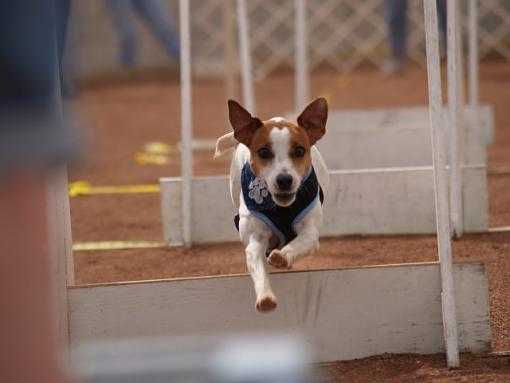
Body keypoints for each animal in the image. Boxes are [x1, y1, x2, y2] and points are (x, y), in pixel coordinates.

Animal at [213, 97, 328, 314]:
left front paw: (282, 257)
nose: (284, 180)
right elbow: (258, 266)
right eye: (264, 152)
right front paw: (265, 297)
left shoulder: (309, 232)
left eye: (299, 150)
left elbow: (299, 243)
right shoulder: (254, 239)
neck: (280, 208)